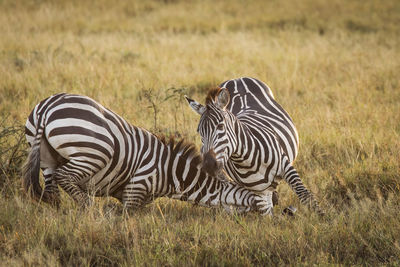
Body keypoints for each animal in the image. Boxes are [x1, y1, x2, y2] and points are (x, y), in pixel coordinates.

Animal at [23, 93, 264, 215]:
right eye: (253, 199)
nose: (264, 217)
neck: (173, 173)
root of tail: (47, 107)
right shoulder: (136, 187)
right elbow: (128, 217)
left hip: (46, 157)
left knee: (53, 191)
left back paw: (60, 215)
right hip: (94, 152)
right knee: (65, 177)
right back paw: (89, 209)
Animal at [186, 77, 324, 216]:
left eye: (220, 126)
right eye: (199, 131)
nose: (208, 165)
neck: (246, 160)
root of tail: (237, 78)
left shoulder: (286, 166)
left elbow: (305, 195)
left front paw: (321, 217)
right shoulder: (258, 191)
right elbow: (267, 215)